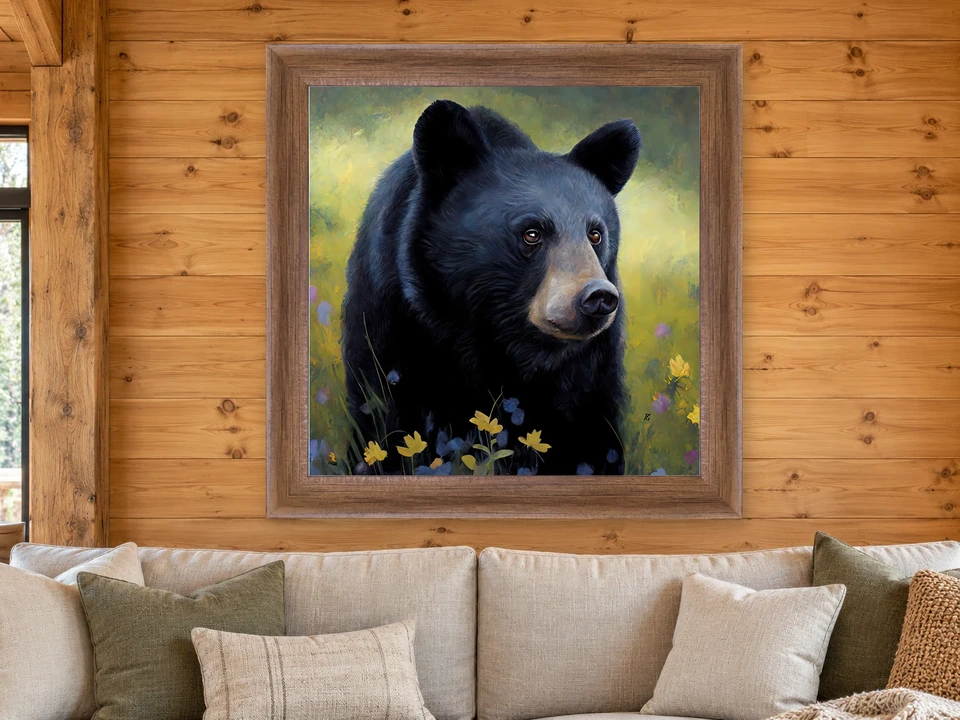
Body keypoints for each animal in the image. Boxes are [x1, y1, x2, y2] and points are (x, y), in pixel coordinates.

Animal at [340, 99, 641, 476]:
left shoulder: (589, 363)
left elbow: (589, 429)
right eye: (532, 233)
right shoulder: (394, 323)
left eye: (595, 234)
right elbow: (387, 417)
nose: (597, 297)